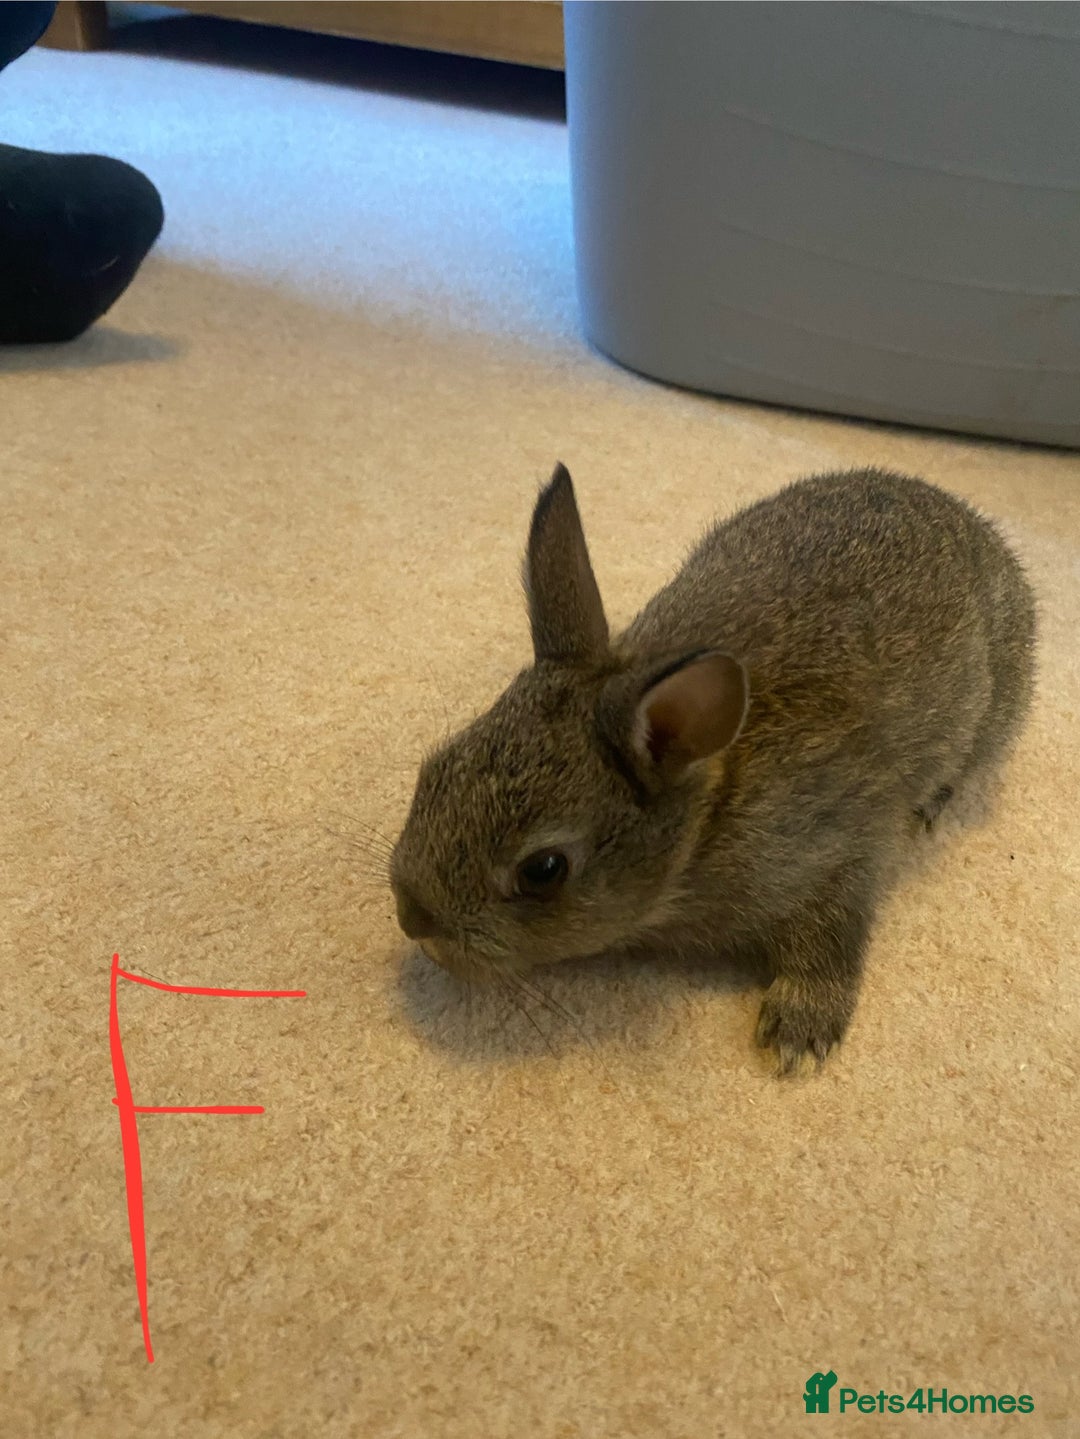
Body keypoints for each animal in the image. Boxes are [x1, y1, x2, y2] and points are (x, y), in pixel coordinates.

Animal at [390, 464, 1036, 1073]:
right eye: (433, 771)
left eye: (543, 870)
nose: (413, 919)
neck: (704, 816)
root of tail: (977, 525)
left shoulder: (834, 851)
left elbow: (833, 934)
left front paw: (798, 1036)